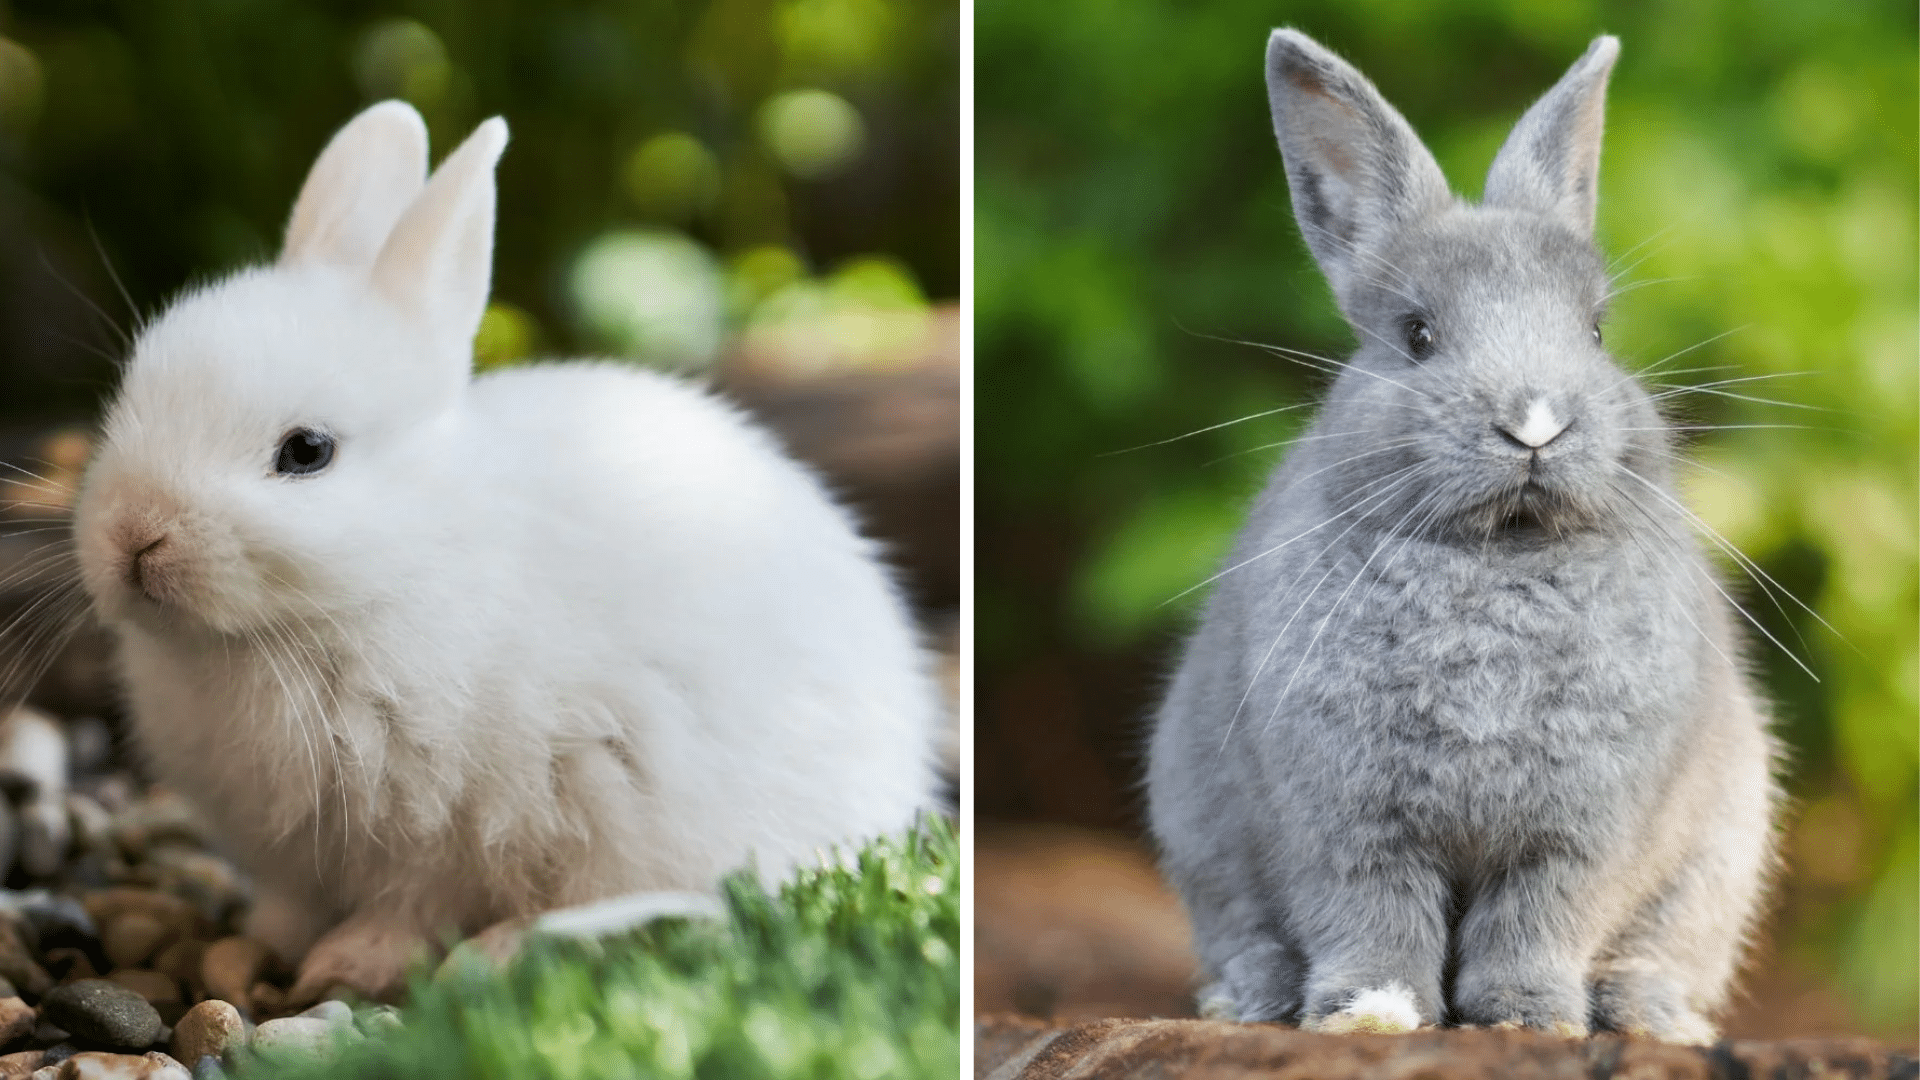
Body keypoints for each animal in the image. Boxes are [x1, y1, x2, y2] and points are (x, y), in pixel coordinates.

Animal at [69, 101, 941, 1001]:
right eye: (130, 397)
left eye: (307, 451)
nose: (135, 536)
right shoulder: (296, 861)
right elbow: (289, 905)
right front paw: (256, 945)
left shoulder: (447, 830)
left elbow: (410, 907)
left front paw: (348, 964)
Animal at [1145, 31, 1779, 1044]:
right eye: (1417, 335)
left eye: (1596, 331)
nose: (1534, 422)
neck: (1500, 555)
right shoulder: (1347, 824)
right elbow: (1371, 917)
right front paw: (1371, 1015)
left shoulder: (1579, 835)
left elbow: (1538, 920)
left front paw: (1528, 1020)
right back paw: (1248, 1000)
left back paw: (1652, 1018)